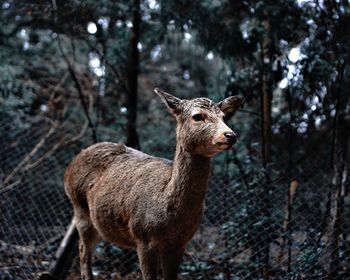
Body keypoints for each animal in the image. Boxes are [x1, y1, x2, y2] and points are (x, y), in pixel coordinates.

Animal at [63, 88, 243, 280]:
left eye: (224, 117)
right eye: (197, 116)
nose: (231, 135)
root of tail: (70, 166)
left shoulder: (180, 243)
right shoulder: (143, 238)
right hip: (80, 208)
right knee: (83, 251)